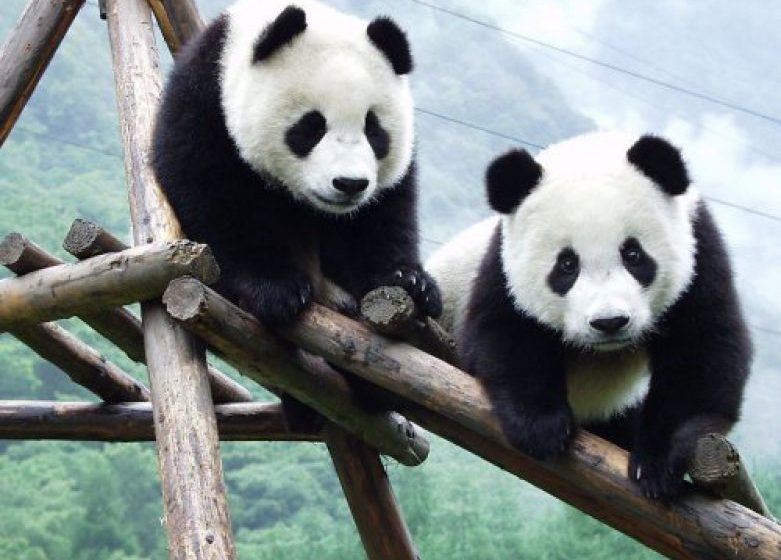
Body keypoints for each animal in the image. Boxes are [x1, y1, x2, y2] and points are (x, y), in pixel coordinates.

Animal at [152, 0, 441, 330]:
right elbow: (216, 197)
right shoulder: (205, 103)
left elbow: (381, 217)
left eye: (373, 130)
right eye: (312, 126)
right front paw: (275, 289)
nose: (349, 184)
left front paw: (410, 280)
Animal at [426, 131, 752, 499]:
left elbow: (704, 351)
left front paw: (656, 463)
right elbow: (501, 333)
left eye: (633, 254)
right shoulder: (503, 265)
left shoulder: (700, 253)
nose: (609, 322)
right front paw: (541, 427)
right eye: (567, 265)